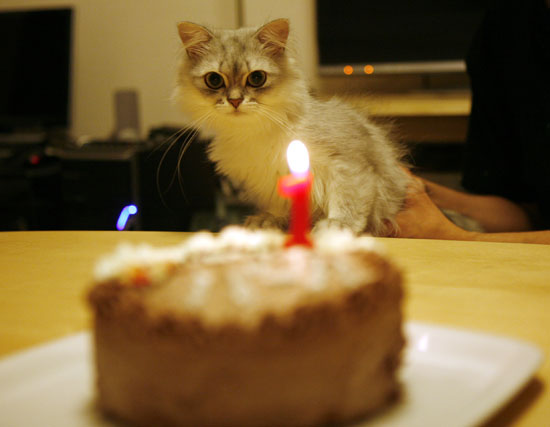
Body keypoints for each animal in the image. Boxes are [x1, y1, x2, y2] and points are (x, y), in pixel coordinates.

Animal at [173, 18, 410, 236]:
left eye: (256, 78)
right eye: (214, 80)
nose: (235, 101)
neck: (253, 132)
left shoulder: (348, 164)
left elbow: (347, 198)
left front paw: (338, 224)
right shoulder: (270, 181)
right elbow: (278, 206)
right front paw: (268, 221)